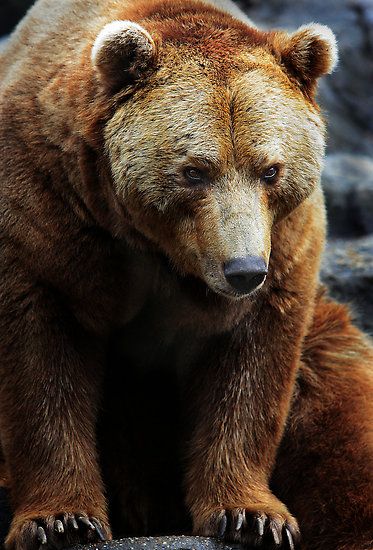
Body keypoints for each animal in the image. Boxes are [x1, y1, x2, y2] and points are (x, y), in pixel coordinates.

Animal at [0, 0, 370, 548]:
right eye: (195, 170)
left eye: (271, 170)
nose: (243, 270)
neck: (156, 247)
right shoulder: (45, 214)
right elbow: (42, 366)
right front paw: (62, 521)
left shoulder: (284, 246)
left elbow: (250, 374)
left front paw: (251, 515)